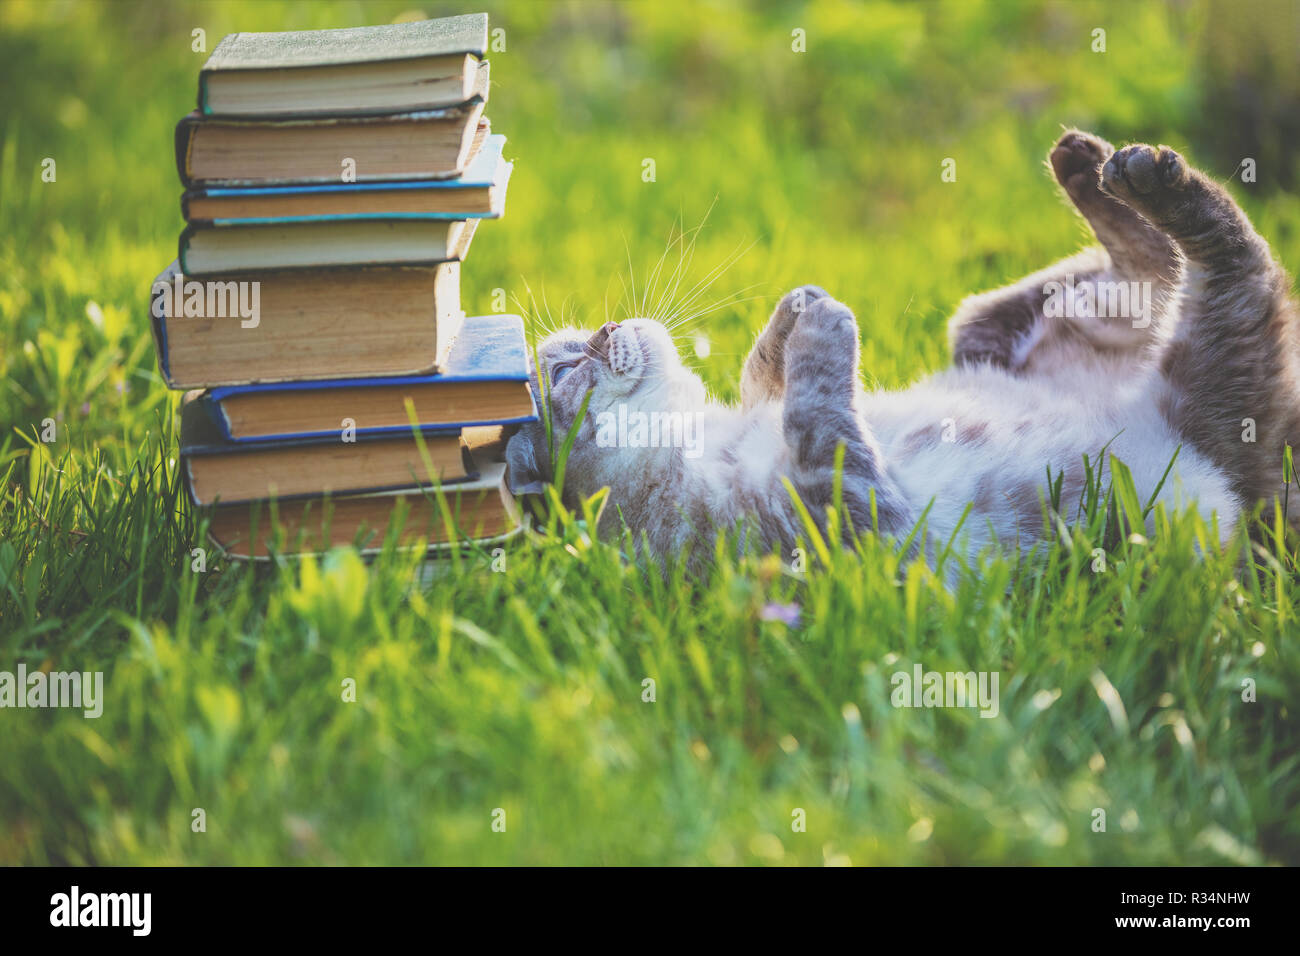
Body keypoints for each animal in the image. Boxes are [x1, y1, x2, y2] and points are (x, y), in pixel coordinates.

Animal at [504, 132, 1300, 572]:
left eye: (573, 345)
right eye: (568, 369)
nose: (606, 331)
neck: (695, 444)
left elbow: (766, 376)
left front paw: (793, 313)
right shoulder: (848, 521)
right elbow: (818, 414)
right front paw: (825, 325)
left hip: (995, 332)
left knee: (1133, 267)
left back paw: (1094, 165)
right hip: (1213, 352)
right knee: (1231, 255)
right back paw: (1147, 178)